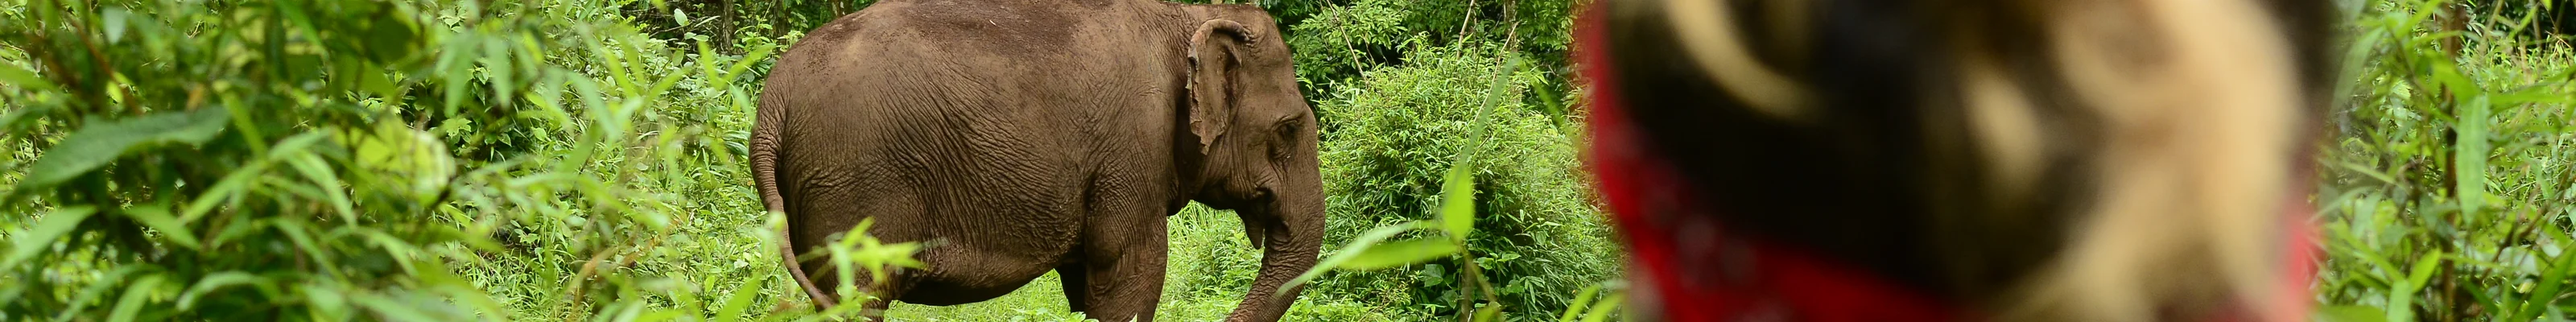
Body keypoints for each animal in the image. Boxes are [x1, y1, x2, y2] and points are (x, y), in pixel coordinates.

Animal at [748, 0, 1323, 321]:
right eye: (1289, 129)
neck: (1190, 15)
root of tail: (772, 103)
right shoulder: (1133, 148)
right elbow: (1130, 274)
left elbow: (1090, 286)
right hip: (851, 181)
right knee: (858, 296)